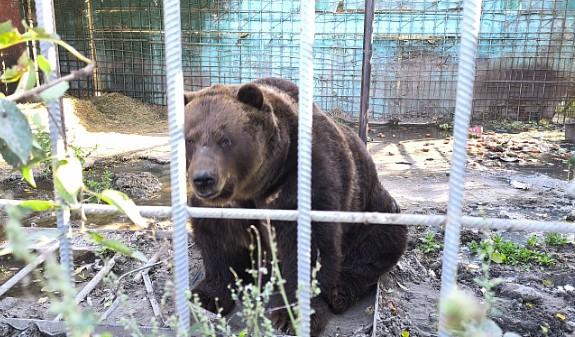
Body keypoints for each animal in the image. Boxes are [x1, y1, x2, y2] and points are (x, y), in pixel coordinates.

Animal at [182, 77, 408, 334]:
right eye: (190, 139)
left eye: (225, 139)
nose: (204, 179)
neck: (258, 186)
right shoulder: (224, 206)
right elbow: (218, 241)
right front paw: (207, 296)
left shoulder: (305, 181)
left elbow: (307, 248)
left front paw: (292, 315)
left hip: (369, 210)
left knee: (381, 242)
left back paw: (339, 293)